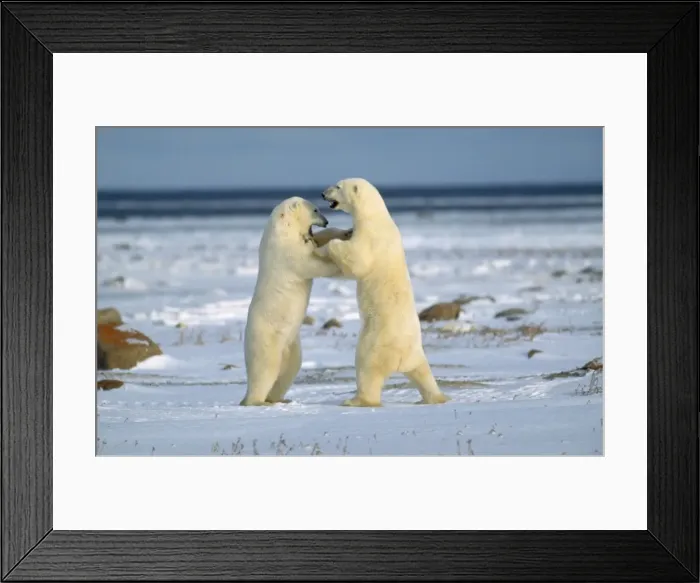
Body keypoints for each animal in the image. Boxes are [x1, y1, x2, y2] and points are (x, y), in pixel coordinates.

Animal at [240, 196, 351, 406]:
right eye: (315, 210)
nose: (326, 221)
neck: (283, 226)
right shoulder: (286, 251)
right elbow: (311, 263)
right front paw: (338, 262)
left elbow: (319, 239)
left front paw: (347, 232)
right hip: (265, 340)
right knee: (265, 371)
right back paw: (257, 401)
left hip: (291, 345)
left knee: (289, 370)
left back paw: (281, 399)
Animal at [314, 177, 450, 407]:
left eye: (338, 186)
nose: (323, 193)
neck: (374, 216)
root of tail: (400, 360)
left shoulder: (371, 238)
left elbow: (356, 261)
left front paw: (328, 245)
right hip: (416, 354)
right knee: (424, 374)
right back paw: (438, 397)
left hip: (374, 344)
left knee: (366, 369)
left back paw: (356, 400)